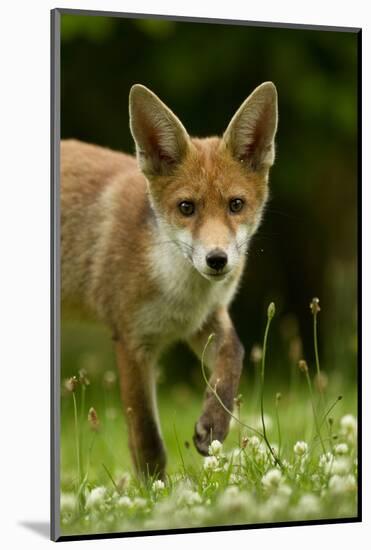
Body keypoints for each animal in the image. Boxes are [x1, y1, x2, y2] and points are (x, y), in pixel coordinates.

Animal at [61, 81, 278, 478]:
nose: (217, 259)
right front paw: (155, 491)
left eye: (236, 205)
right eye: (186, 208)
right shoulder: (132, 341)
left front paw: (215, 423)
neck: (179, 292)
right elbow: (147, 439)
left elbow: (234, 355)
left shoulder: (202, 319)